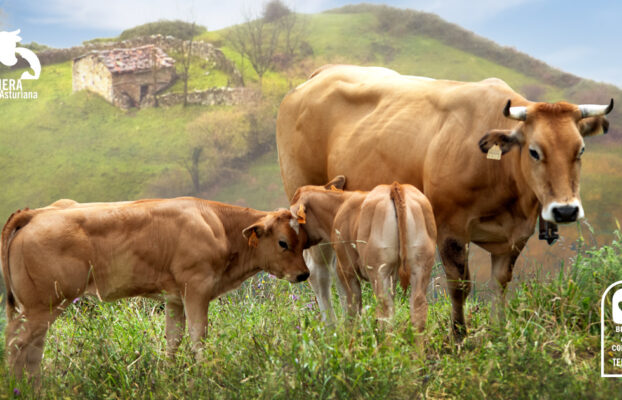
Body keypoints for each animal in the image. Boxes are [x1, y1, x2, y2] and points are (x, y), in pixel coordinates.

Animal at [1, 198, 310, 380]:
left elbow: (173, 339)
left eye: (303, 240)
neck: (218, 226)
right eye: (283, 242)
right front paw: (205, 373)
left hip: (36, 308)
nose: (304, 274)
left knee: (30, 348)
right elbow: (198, 337)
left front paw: (167, 374)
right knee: (17, 344)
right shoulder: (196, 288)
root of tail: (33, 213)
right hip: (43, 306)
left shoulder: (174, 298)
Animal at [290, 177, 436, 332]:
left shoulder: (345, 269)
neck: (339, 207)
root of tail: (394, 187)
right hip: (420, 266)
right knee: (418, 307)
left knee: (384, 310)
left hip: (378, 270)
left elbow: (352, 309)